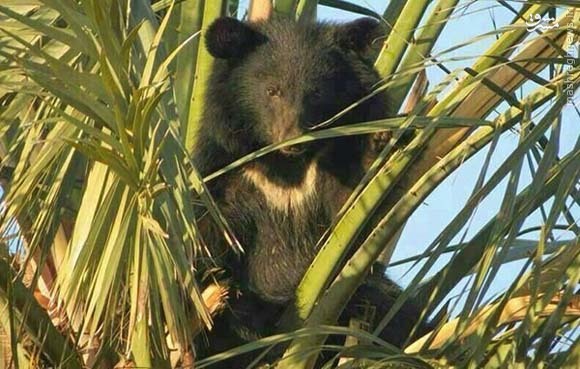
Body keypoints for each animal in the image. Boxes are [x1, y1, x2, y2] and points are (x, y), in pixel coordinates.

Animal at [195, 15, 426, 366]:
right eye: (272, 91)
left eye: (316, 93)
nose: (294, 138)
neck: (285, 166)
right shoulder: (229, 174)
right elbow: (212, 234)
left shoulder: (332, 164)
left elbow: (356, 220)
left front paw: (381, 141)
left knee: (394, 310)